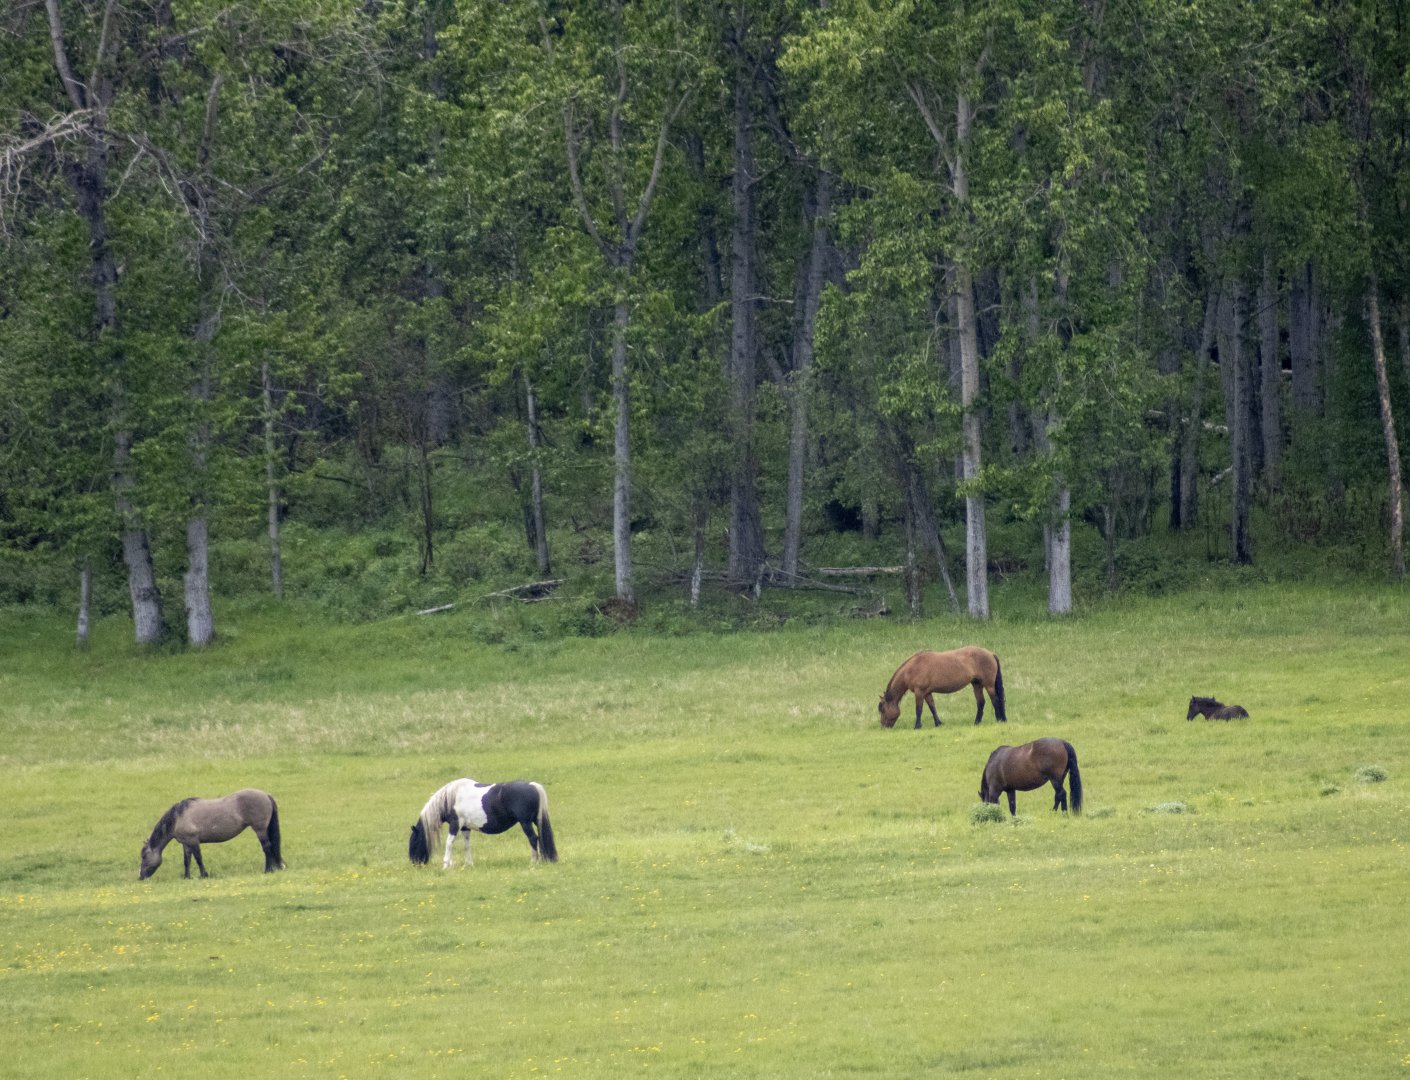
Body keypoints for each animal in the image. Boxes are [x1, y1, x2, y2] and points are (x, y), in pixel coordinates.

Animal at [139, 788, 284, 880]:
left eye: (144, 856)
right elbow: (187, 861)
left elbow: (198, 858)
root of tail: (266, 795)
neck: (178, 817)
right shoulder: (186, 844)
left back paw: (267, 870)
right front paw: (187, 877)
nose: (141, 877)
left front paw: (204, 875)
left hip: (260, 829)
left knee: (267, 848)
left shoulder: (193, 841)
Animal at [408, 778, 558, 868]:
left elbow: (449, 843)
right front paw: (469, 864)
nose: (414, 863)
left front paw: (446, 865)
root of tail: (532, 785)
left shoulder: (455, 825)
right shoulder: (465, 828)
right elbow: (466, 845)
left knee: (533, 838)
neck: (452, 797)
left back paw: (533, 862)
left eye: (414, 842)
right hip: (535, 821)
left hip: (525, 823)